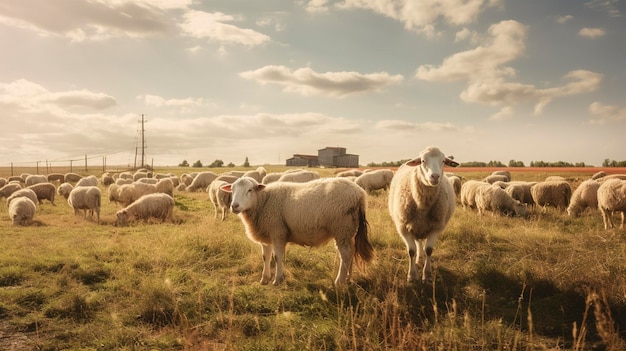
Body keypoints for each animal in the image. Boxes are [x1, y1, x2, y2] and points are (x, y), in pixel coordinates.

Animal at [222, 177, 372, 288]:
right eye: (232, 190)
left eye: (250, 190)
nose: (234, 206)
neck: (263, 202)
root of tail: (360, 194)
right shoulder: (267, 235)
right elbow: (266, 257)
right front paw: (264, 279)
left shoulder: (278, 232)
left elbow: (277, 257)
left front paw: (277, 280)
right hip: (349, 230)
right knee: (351, 252)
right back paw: (348, 279)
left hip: (342, 228)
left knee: (345, 255)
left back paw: (339, 282)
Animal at [386, 146, 458, 284]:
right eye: (423, 161)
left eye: (443, 161)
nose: (435, 176)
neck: (422, 207)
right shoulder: (403, 228)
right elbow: (411, 251)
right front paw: (412, 276)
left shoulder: (436, 227)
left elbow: (429, 250)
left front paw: (427, 275)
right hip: (415, 226)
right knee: (417, 244)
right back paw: (418, 259)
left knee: (420, 244)